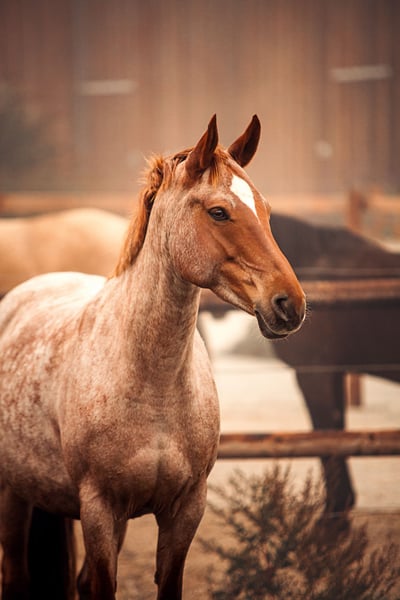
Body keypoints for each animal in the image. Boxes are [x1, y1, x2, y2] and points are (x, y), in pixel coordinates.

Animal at [0, 115, 306, 600]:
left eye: (267, 210)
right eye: (218, 212)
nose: (290, 304)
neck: (153, 385)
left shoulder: (185, 511)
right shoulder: (100, 509)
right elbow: (101, 585)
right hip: (12, 494)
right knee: (15, 575)